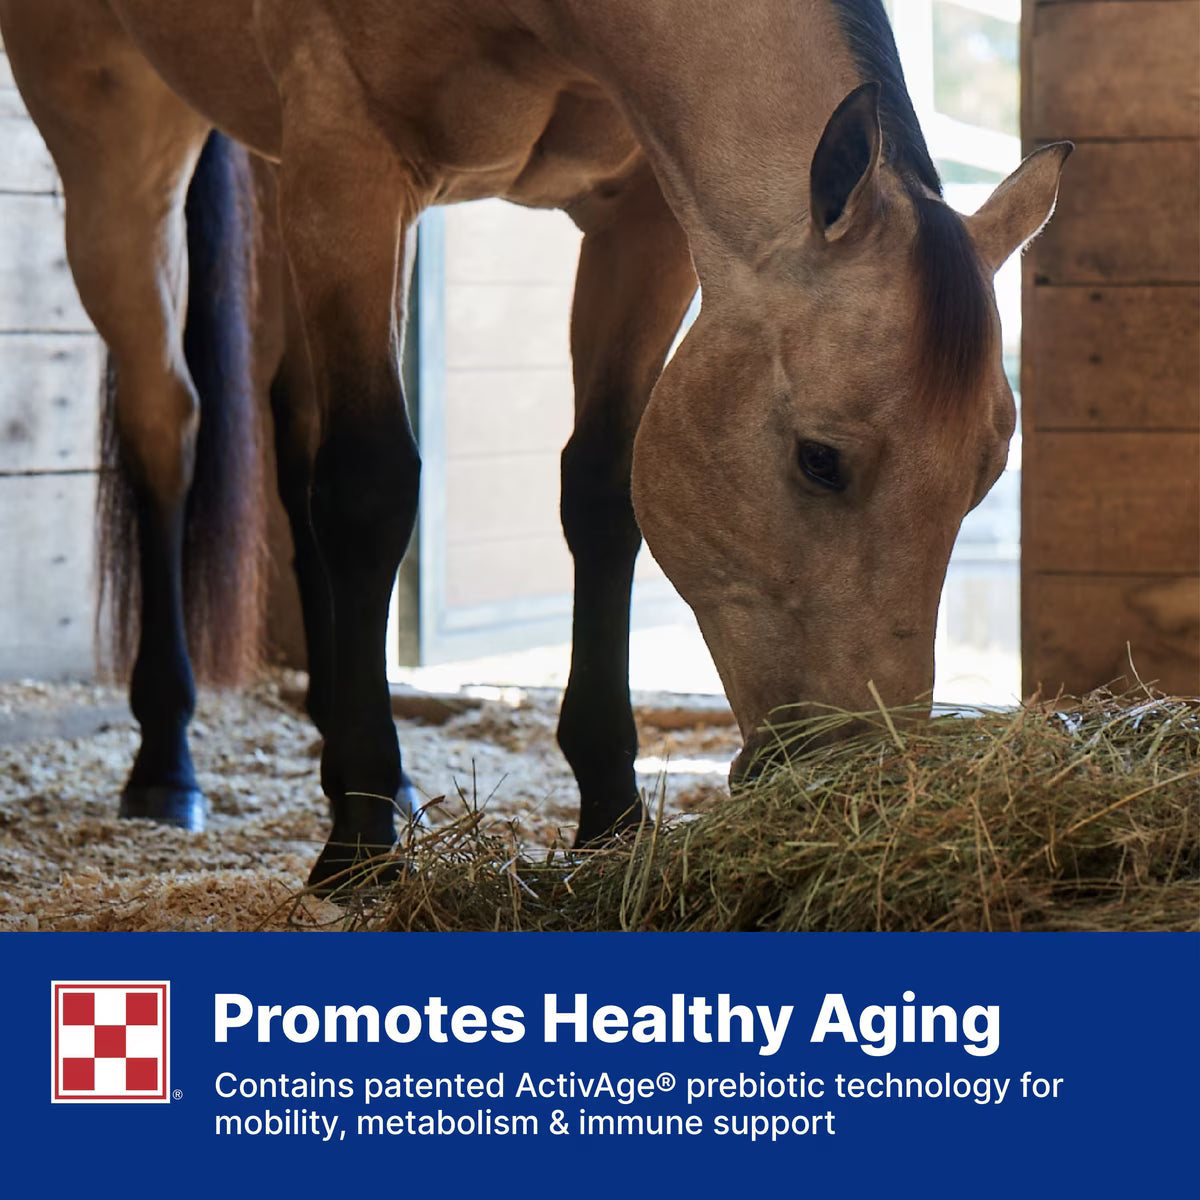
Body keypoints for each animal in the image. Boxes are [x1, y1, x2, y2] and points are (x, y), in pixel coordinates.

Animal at [0, 0, 1068, 894]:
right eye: (819, 459)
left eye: (985, 482)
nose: (868, 783)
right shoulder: (351, 163)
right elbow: (368, 490)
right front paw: (358, 843)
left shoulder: (638, 217)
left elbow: (599, 492)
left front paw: (611, 811)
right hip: (123, 139)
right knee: (167, 431)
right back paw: (168, 760)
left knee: (291, 430)